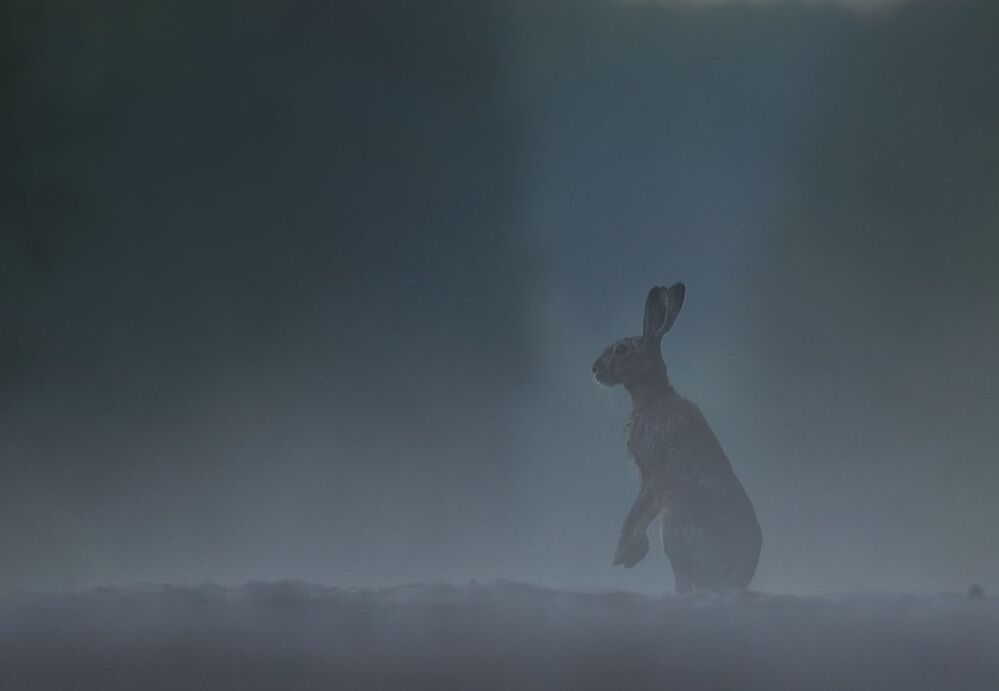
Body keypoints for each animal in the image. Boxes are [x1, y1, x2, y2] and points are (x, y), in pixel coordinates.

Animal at [592, 283, 762, 592]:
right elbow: (644, 512)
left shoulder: (654, 473)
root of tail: (733, 581)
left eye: (621, 349)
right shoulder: (652, 483)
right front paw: (633, 553)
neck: (652, 396)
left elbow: (637, 510)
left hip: (674, 532)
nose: (595, 369)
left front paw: (623, 553)